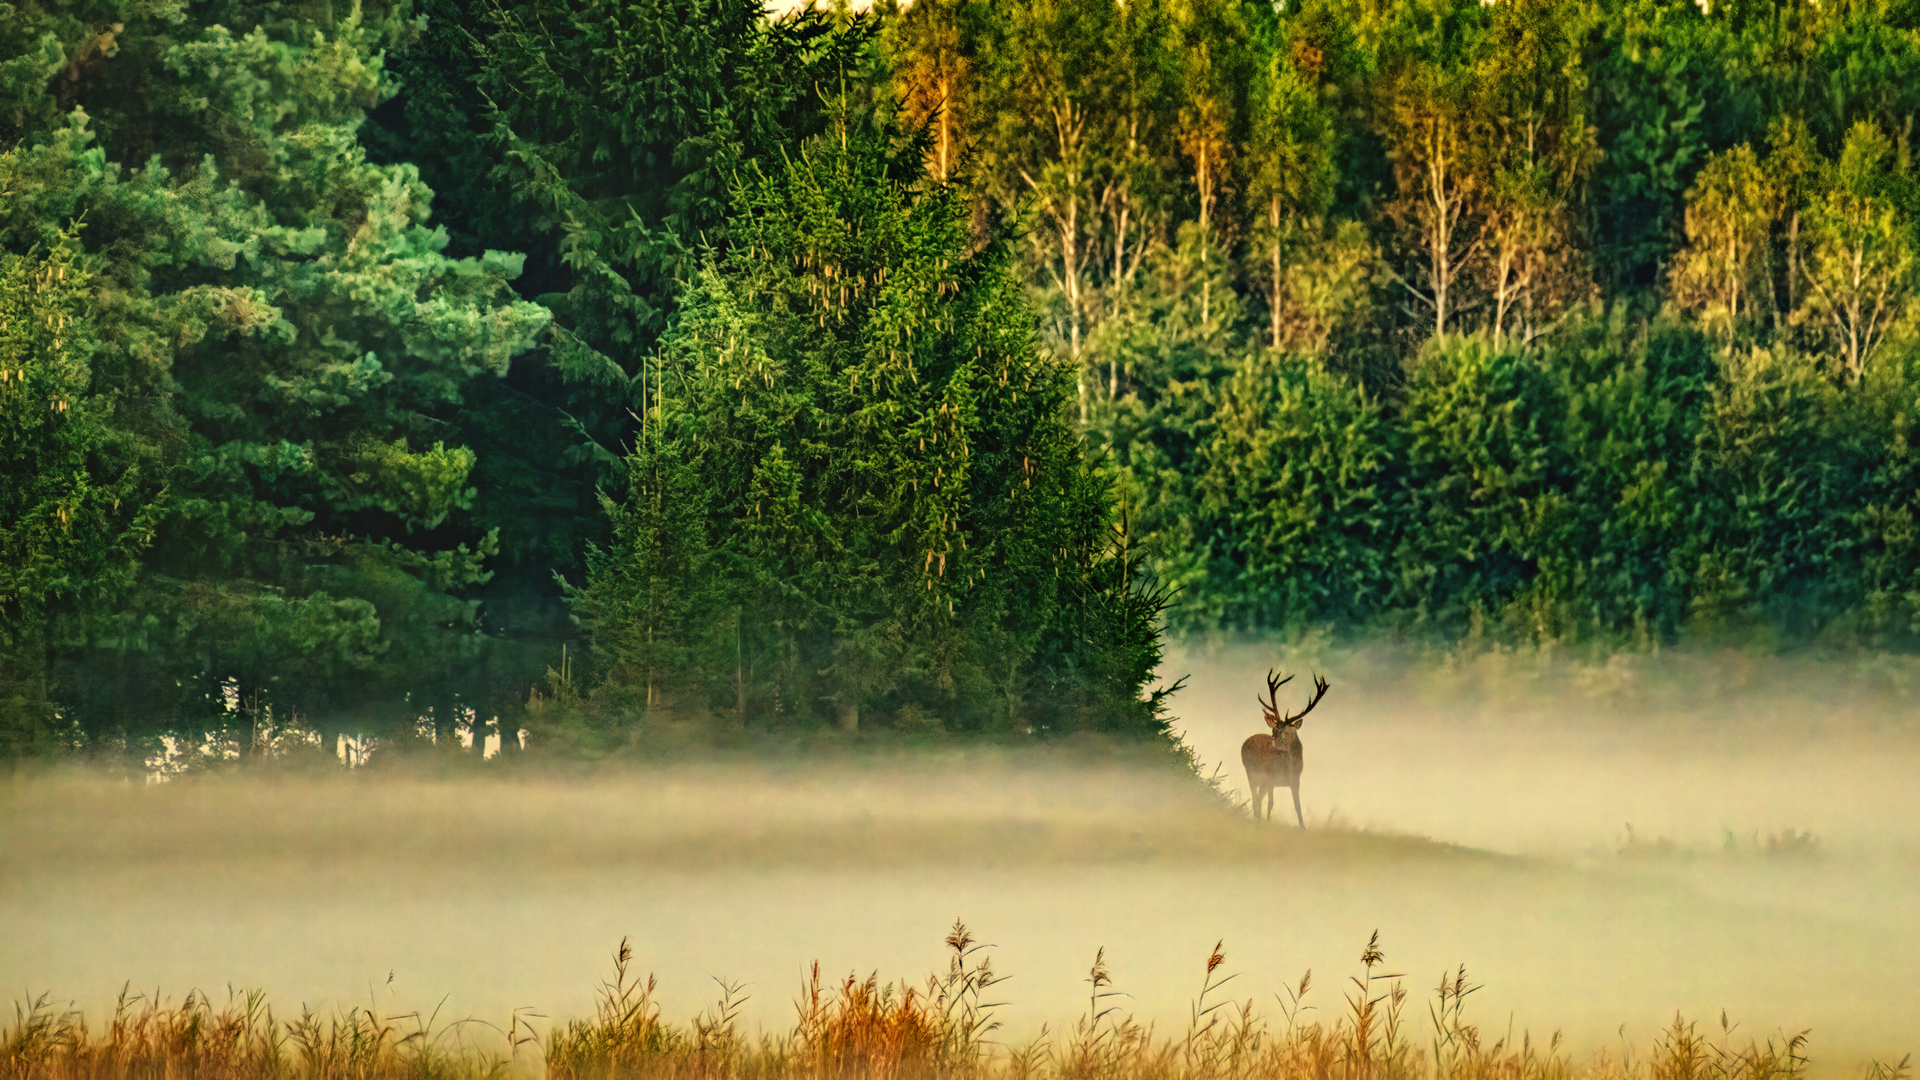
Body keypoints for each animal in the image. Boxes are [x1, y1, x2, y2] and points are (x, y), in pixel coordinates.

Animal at [1236, 664, 1328, 822]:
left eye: (1287, 732)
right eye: (1274, 730)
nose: (1273, 743)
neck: (1287, 769)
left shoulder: (1295, 780)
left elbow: (1298, 807)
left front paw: (1303, 827)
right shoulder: (1270, 778)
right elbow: (1270, 804)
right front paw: (1266, 823)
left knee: (1258, 798)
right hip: (1251, 771)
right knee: (1255, 798)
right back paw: (1257, 819)